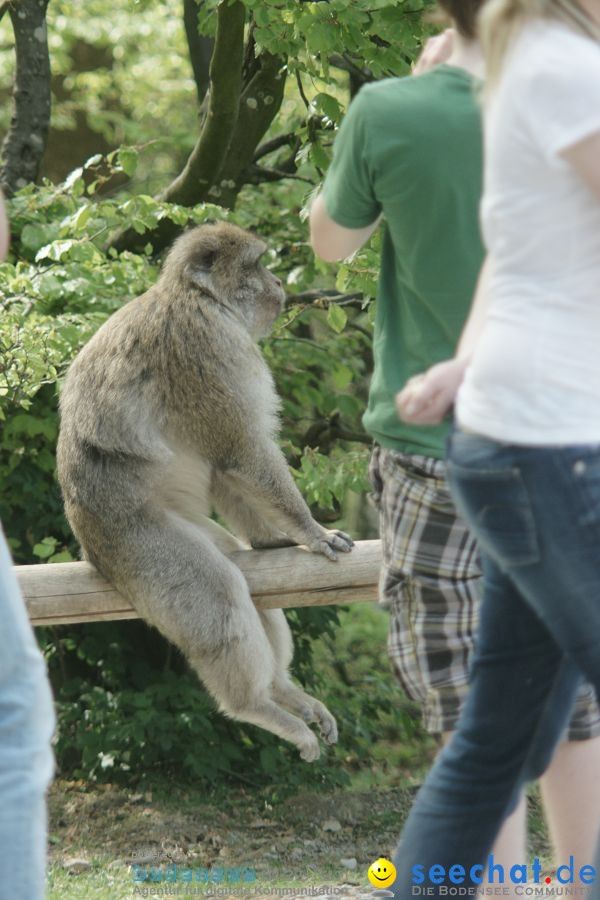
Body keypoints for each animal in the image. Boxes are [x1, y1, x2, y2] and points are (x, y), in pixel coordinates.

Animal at [57, 223, 352, 760]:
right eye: (256, 264)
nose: (278, 280)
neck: (201, 298)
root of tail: (90, 546)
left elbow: (224, 469)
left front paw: (277, 539)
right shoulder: (206, 346)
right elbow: (241, 450)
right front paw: (312, 531)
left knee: (243, 578)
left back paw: (282, 690)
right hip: (140, 546)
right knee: (218, 593)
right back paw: (255, 706)